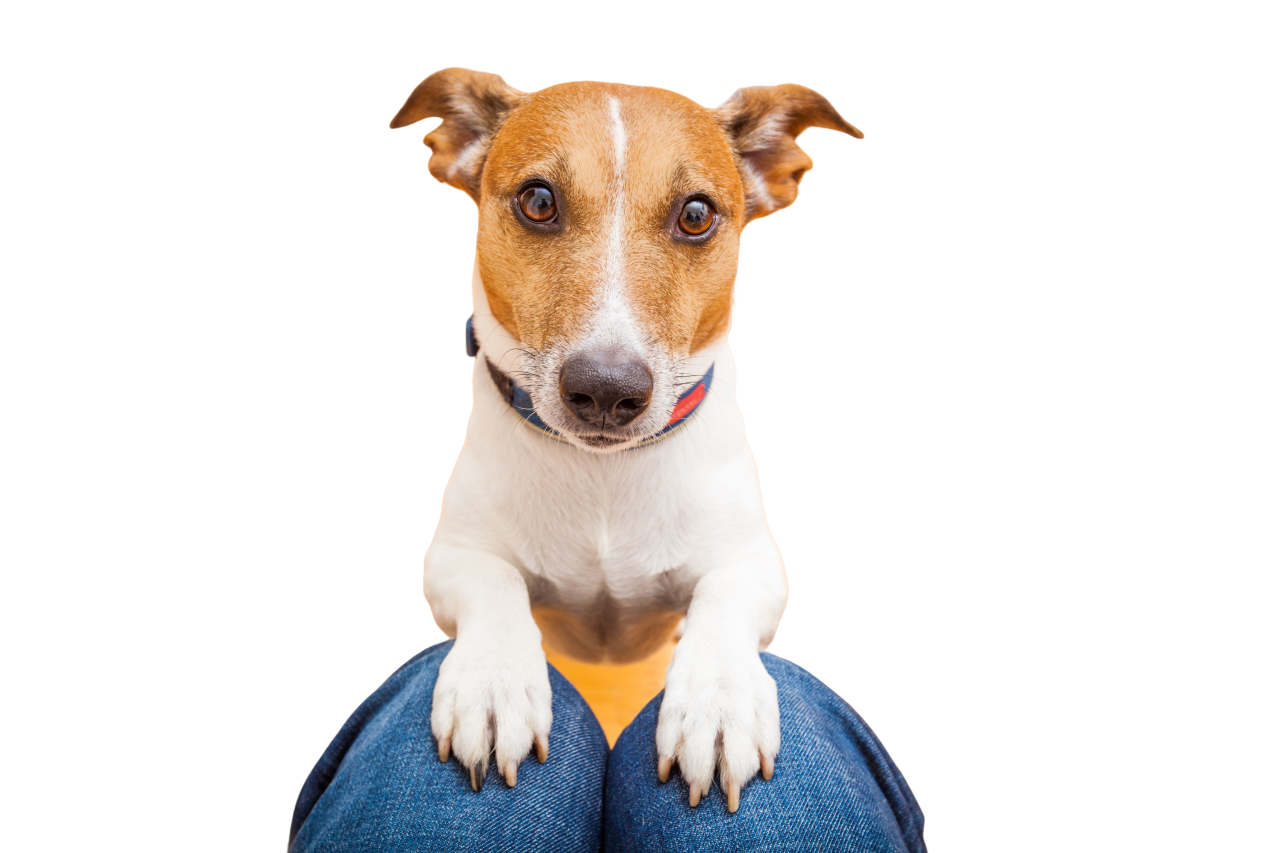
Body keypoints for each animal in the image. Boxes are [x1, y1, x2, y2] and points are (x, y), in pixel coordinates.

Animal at [389, 68, 865, 809]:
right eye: (538, 201)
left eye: (696, 214)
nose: (607, 390)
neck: (603, 476)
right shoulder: (453, 558)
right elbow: (494, 583)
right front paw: (494, 682)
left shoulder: (755, 563)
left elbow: (723, 603)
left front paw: (720, 702)